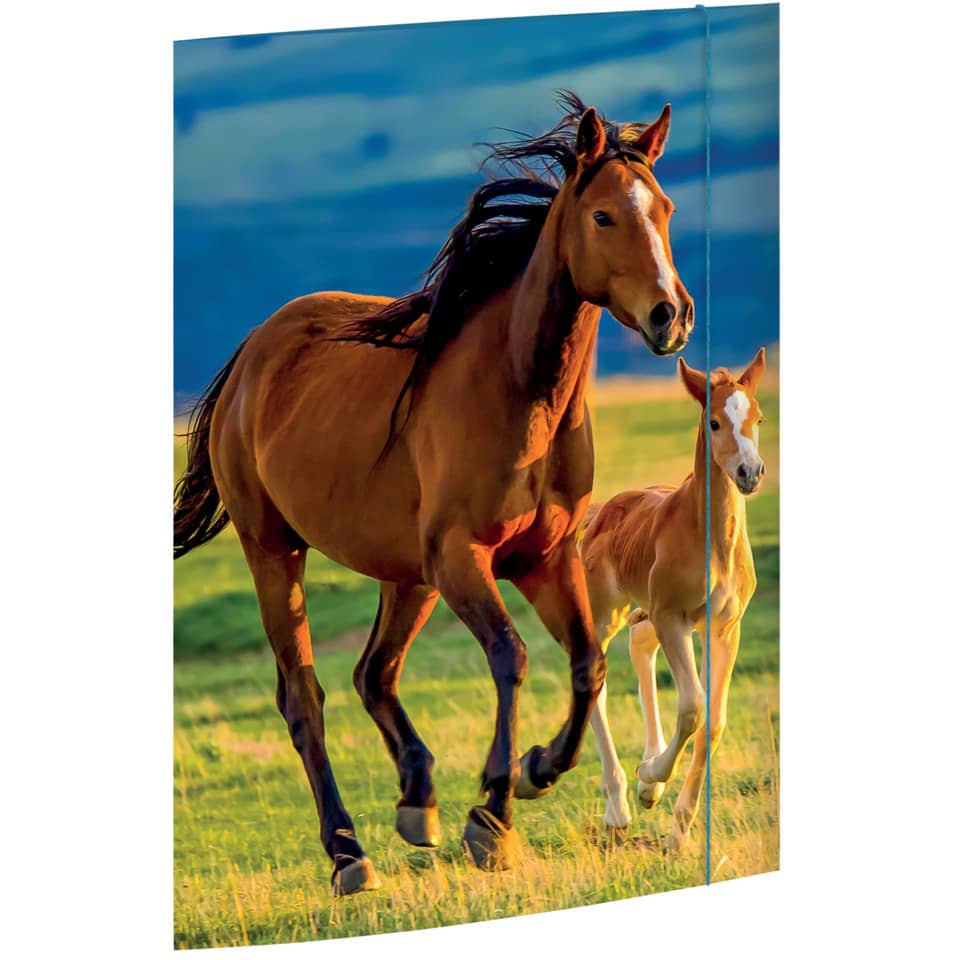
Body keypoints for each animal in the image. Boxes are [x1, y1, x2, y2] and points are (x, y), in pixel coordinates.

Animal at [173, 92, 694, 895]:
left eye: (664, 208)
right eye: (605, 215)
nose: (672, 315)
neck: (518, 391)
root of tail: (251, 356)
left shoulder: (544, 559)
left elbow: (587, 664)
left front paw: (536, 770)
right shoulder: (463, 559)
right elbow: (511, 658)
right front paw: (494, 815)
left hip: (405, 575)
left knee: (374, 674)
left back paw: (417, 803)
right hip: (276, 551)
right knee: (305, 697)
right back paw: (348, 853)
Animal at [578, 349, 765, 848]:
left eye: (758, 418)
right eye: (715, 422)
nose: (750, 473)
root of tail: (600, 512)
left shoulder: (725, 626)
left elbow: (714, 721)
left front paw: (679, 831)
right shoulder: (673, 617)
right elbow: (693, 707)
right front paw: (650, 779)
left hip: (645, 612)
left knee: (640, 647)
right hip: (607, 612)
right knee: (595, 678)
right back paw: (620, 806)